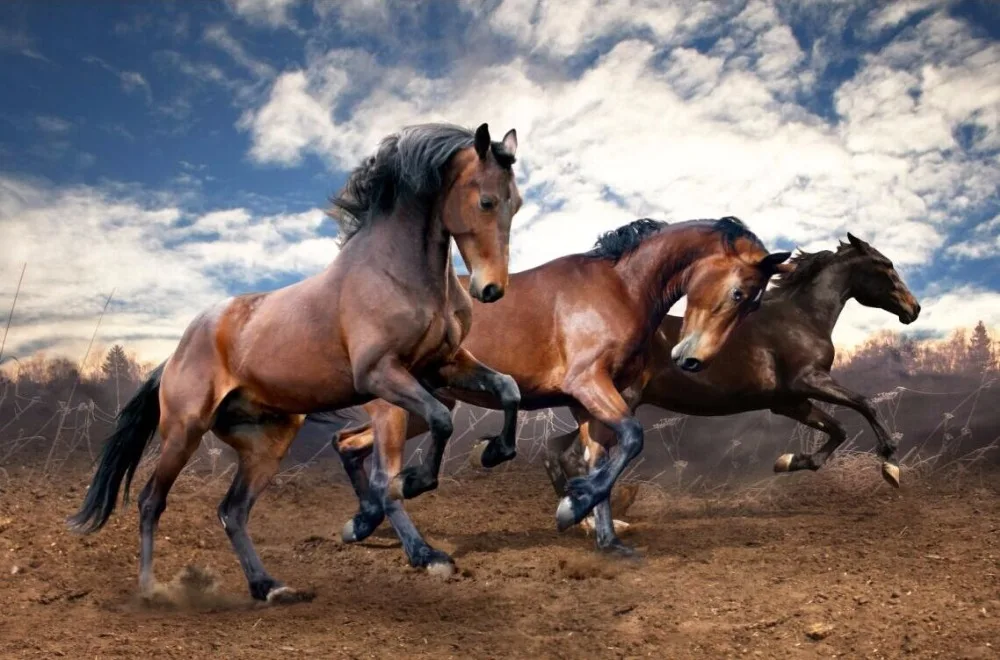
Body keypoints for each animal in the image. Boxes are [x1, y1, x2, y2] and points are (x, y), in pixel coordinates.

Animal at [66, 122, 524, 602]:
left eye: (516, 203)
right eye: (486, 201)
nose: (491, 289)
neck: (398, 273)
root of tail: (174, 354)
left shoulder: (443, 365)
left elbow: (507, 388)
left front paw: (492, 451)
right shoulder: (380, 374)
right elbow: (438, 422)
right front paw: (415, 491)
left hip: (267, 442)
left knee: (232, 510)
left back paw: (267, 586)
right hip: (183, 431)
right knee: (151, 501)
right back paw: (150, 589)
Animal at [328, 216, 792, 569]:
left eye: (752, 304)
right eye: (738, 293)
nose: (692, 360)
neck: (620, 288)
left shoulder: (589, 403)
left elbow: (601, 459)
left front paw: (607, 538)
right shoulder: (588, 384)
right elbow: (632, 439)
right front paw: (573, 506)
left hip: (425, 408)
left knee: (348, 444)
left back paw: (362, 523)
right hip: (397, 408)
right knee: (383, 476)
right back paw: (423, 553)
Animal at [541, 232, 922, 520]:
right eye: (885, 265)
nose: (913, 309)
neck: (801, 317)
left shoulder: (789, 401)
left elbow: (837, 429)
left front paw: (789, 462)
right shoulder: (808, 381)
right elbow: (864, 403)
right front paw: (890, 465)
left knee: (555, 452)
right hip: (620, 404)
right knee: (571, 456)